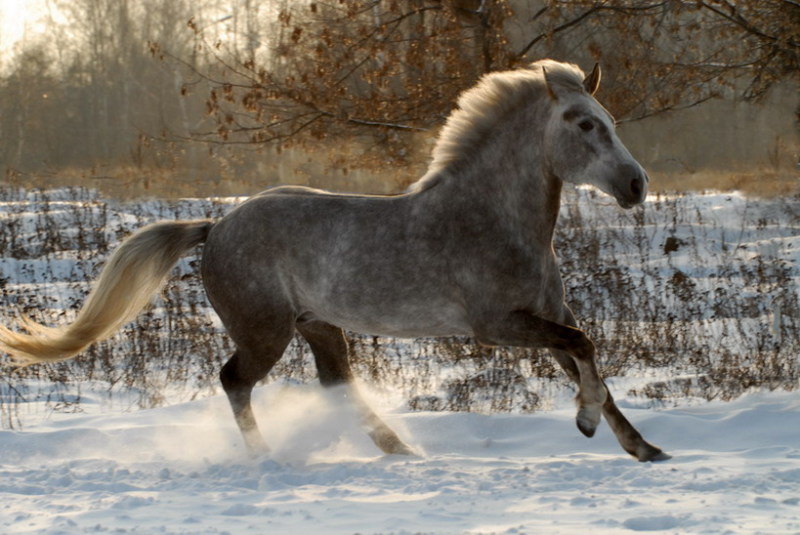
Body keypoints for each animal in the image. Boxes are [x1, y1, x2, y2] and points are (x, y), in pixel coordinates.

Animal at [0, 57, 664, 460]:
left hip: (318, 325)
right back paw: (267, 458)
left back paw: (400, 450)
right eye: (582, 123)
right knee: (235, 381)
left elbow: (591, 364)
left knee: (335, 383)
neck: (494, 219)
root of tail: (216, 226)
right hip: (264, 331)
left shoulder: (545, 317)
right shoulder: (496, 326)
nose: (636, 186)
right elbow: (585, 348)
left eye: (609, 119)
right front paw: (585, 423)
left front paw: (645, 449)